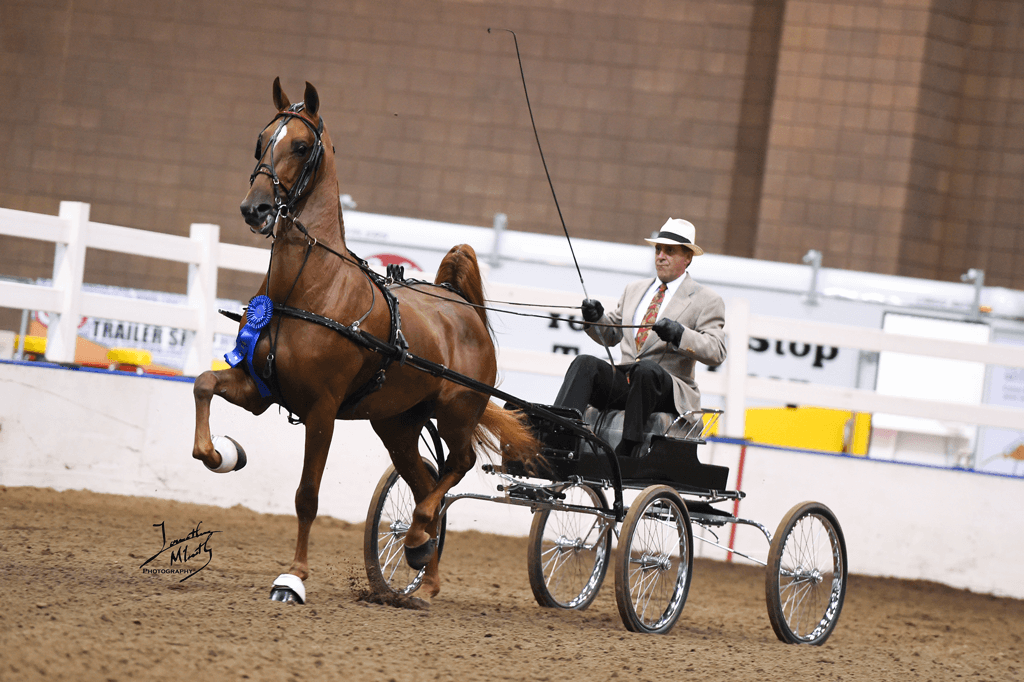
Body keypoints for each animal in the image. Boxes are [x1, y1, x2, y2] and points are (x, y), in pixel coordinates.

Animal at [191, 78, 540, 604]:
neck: (310, 288)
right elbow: (204, 383)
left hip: (456, 412)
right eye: (261, 139)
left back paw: (417, 543)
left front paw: (293, 578)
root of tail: (460, 304)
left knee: (457, 467)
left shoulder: (321, 409)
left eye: (301, 145)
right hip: (396, 423)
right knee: (424, 482)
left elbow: (307, 494)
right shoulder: (261, 390)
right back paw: (423, 574)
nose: (255, 209)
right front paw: (221, 454)